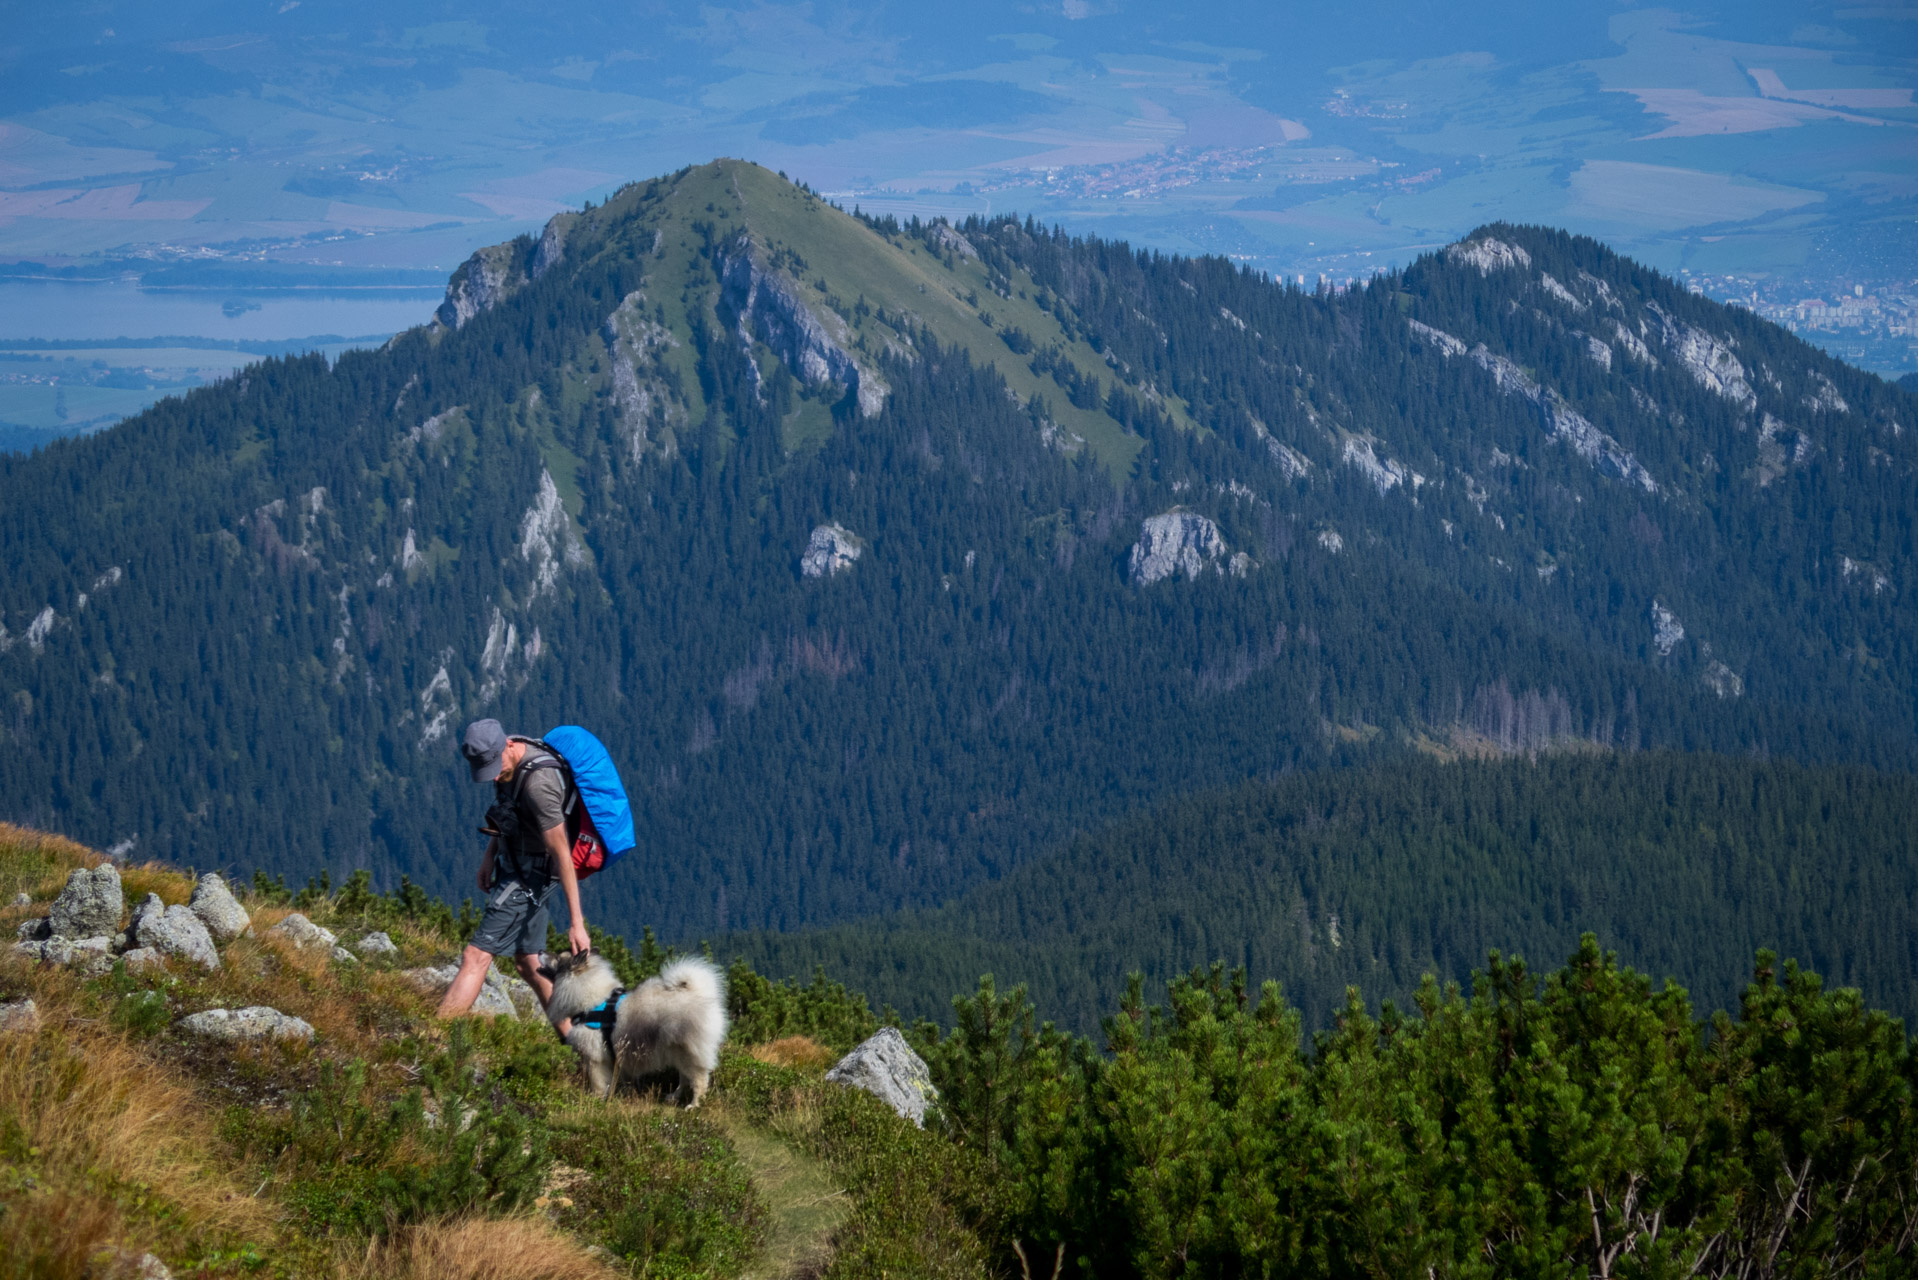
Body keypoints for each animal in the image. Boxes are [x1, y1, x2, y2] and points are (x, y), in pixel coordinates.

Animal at [537, 951, 728, 1105]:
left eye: (557, 958)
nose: (539, 951)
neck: (590, 1002)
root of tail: (700, 994)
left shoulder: (595, 1059)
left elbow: (597, 1082)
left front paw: (596, 1100)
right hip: (678, 1052)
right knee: (684, 1078)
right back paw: (673, 1097)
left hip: (688, 1053)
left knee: (699, 1080)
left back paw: (693, 1105)